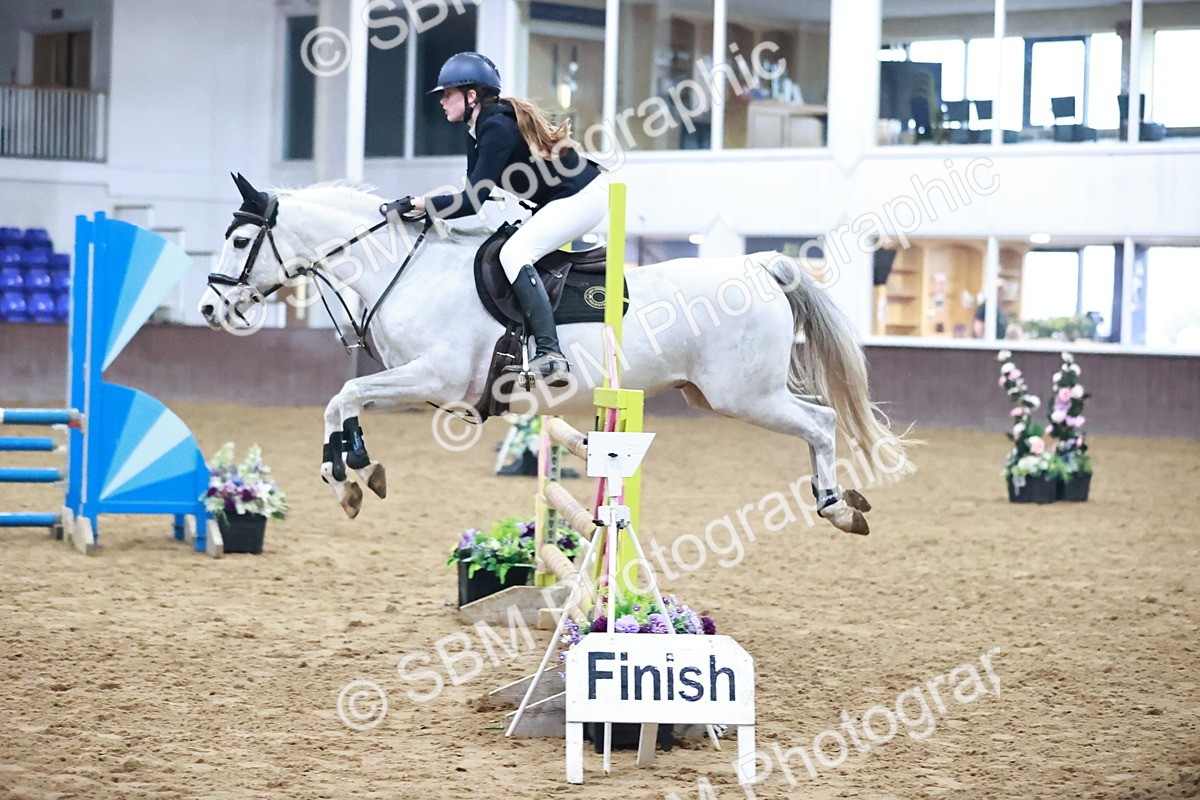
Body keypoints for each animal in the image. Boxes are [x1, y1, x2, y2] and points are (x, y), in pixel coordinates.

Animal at [198, 176, 914, 535]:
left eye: (237, 239)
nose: (208, 310)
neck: (406, 268)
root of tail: (759, 266)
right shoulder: (416, 383)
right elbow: (345, 401)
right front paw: (356, 471)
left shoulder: (433, 379)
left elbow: (342, 394)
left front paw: (342, 474)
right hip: (726, 393)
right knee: (819, 418)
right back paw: (840, 502)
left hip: (747, 396)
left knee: (821, 422)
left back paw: (836, 506)